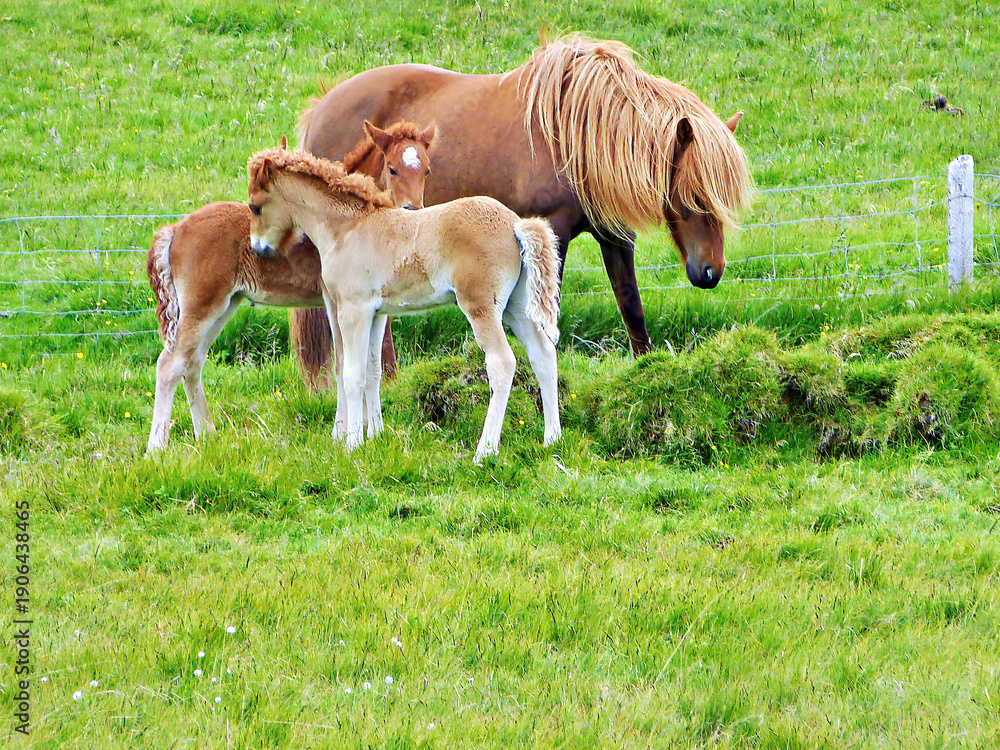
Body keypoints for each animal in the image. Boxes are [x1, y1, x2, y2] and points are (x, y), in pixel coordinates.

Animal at [145, 121, 437, 454]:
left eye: (426, 169)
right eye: (392, 168)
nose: (413, 209)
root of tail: (175, 229)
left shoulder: (376, 305)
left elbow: (372, 365)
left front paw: (373, 431)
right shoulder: (333, 300)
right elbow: (342, 363)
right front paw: (342, 433)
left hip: (223, 306)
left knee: (191, 363)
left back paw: (206, 434)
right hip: (201, 305)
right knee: (169, 364)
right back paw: (156, 447)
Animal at [247, 143, 562, 463]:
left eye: (255, 206)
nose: (258, 247)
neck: (347, 228)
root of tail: (516, 224)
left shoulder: (353, 309)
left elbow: (352, 373)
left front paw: (352, 445)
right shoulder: (376, 312)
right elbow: (373, 370)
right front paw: (374, 436)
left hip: (481, 307)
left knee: (502, 363)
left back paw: (484, 451)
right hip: (517, 307)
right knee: (543, 355)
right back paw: (551, 440)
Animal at [291, 33, 755, 378]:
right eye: (694, 198)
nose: (711, 272)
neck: (576, 133)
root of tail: (321, 108)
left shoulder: (614, 235)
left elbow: (632, 307)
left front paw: (646, 370)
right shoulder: (551, 234)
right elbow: (546, 317)